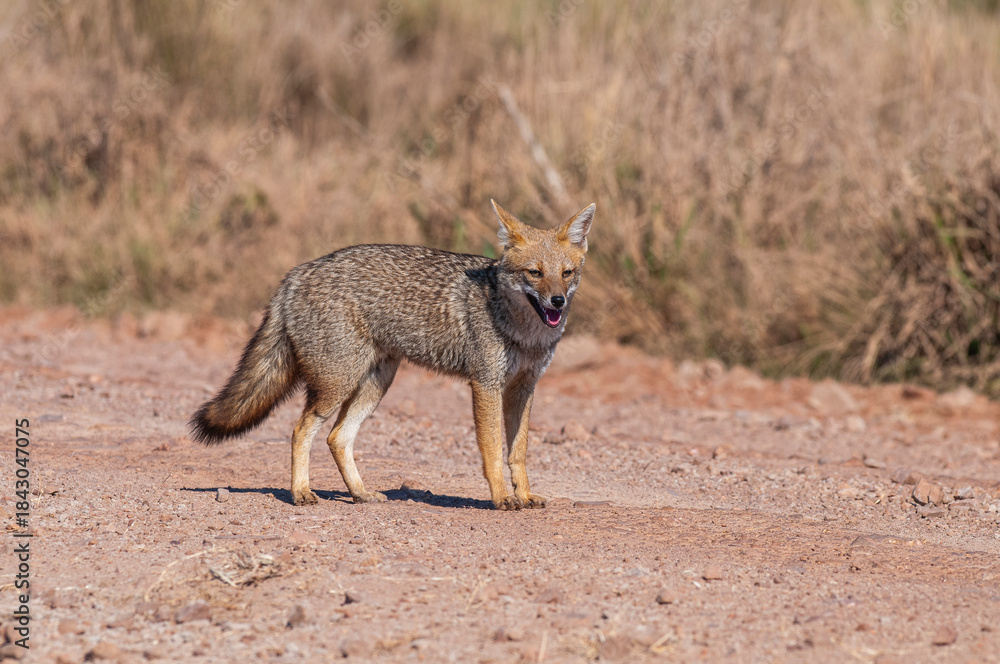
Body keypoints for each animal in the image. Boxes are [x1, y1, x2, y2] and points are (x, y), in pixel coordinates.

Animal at [189, 199, 595, 510]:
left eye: (566, 273)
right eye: (534, 273)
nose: (557, 302)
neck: (522, 332)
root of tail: (297, 273)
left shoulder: (523, 388)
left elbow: (518, 451)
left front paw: (524, 495)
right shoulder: (486, 384)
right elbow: (494, 451)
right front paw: (501, 498)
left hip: (376, 384)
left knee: (337, 438)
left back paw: (361, 494)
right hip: (338, 383)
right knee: (301, 429)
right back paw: (301, 492)